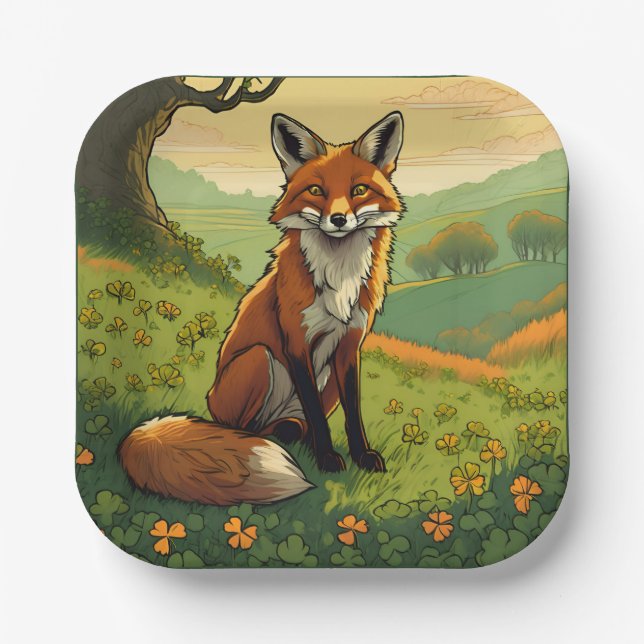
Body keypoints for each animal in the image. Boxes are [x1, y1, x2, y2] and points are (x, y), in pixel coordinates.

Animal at [119, 111, 405, 505]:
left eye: (358, 190)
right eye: (317, 191)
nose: (338, 220)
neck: (337, 274)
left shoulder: (350, 344)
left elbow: (353, 414)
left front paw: (361, 456)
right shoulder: (295, 341)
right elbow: (317, 415)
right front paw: (327, 458)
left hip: (323, 382)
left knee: (292, 426)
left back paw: (292, 434)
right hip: (258, 359)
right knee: (247, 430)